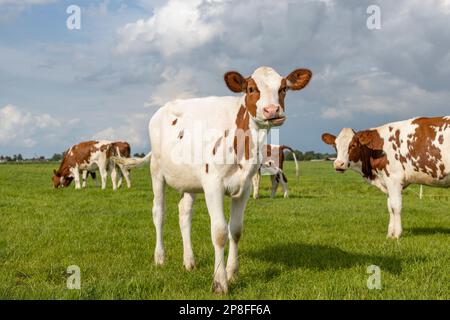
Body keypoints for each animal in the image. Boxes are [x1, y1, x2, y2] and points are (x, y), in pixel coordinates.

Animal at [114, 66, 312, 294]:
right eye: (251, 88)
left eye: (283, 88)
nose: (272, 111)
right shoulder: (213, 185)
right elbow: (219, 232)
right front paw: (220, 282)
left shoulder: (244, 187)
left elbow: (235, 230)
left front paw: (233, 273)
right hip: (157, 173)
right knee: (159, 213)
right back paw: (160, 258)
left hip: (189, 181)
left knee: (184, 212)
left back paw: (189, 261)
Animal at [322, 116, 450, 239]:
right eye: (335, 146)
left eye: (353, 145)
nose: (338, 164)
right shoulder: (387, 182)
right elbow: (390, 207)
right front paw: (390, 234)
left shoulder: (394, 179)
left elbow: (396, 206)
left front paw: (397, 235)